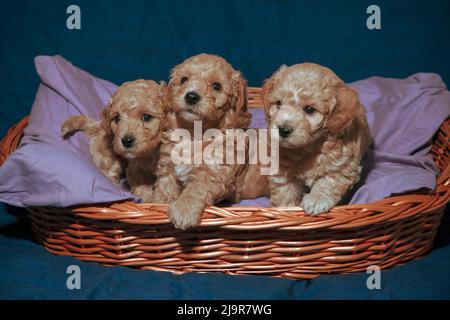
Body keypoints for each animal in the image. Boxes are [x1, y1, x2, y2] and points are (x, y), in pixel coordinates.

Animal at [152, 53, 253, 230]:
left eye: (216, 86)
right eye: (184, 79)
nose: (191, 96)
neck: (194, 133)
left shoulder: (216, 173)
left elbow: (197, 187)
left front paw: (183, 210)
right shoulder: (167, 167)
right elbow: (164, 187)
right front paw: (156, 204)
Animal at [262, 62, 370, 215]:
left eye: (309, 109)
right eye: (278, 104)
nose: (283, 129)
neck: (307, 149)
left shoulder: (343, 165)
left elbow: (329, 181)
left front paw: (316, 200)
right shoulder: (282, 167)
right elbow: (285, 191)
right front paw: (286, 209)